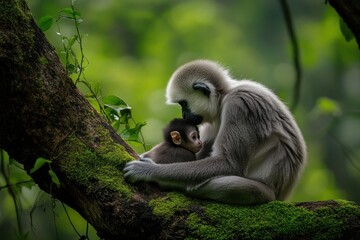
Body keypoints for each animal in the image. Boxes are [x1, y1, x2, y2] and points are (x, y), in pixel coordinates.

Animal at [124, 59, 306, 203]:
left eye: (183, 104)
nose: (183, 115)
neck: (226, 94)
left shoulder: (238, 105)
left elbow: (229, 164)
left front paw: (149, 171)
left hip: (267, 193)